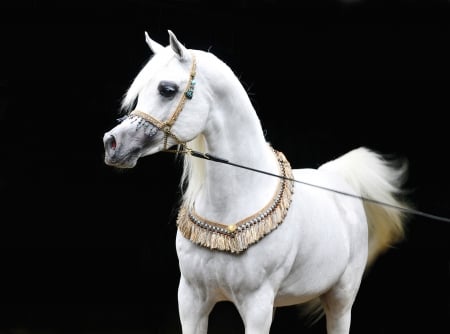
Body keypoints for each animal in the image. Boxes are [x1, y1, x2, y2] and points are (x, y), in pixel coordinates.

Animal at [103, 30, 412, 332]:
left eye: (167, 89)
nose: (112, 143)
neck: (235, 202)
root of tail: (336, 176)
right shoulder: (191, 300)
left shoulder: (257, 305)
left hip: (340, 299)